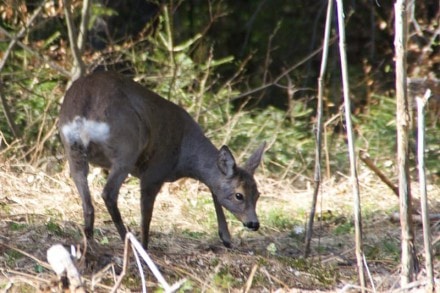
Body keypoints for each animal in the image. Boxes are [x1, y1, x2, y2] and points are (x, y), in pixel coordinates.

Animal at [58, 70, 264, 246]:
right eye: (239, 195)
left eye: (258, 194)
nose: (254, 223)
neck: (184, 155)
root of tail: (84, 112)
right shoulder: (155, 172)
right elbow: (146, 215)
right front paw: (145, 245)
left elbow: (213, 188)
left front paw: (226, 237)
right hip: (126, 150)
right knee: (108, 193)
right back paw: (130, 242)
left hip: (73, 151)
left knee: (87, 202)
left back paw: (89, 241)